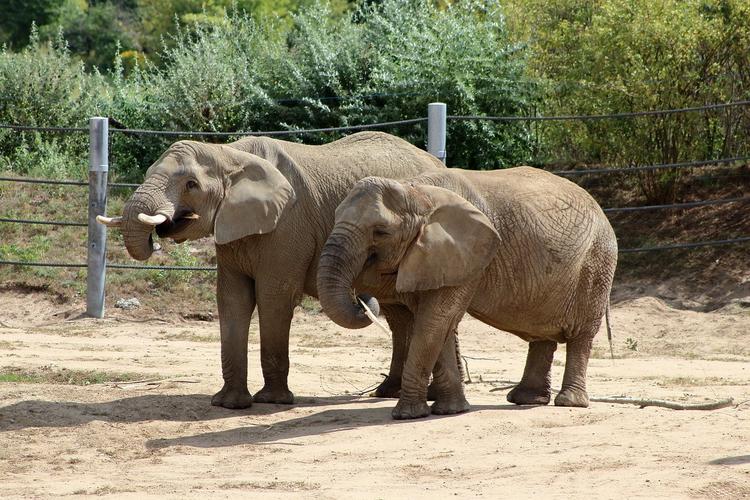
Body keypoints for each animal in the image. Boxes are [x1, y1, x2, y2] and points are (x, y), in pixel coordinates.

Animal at [94, 131, 450, 408]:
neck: (229, 153)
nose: (157, 237)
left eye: (191, 184)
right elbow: (232, 300)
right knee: (398, 314)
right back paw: (388, 392)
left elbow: (273, 297)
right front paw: (228, 404)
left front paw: (272, 401)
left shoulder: (287, 226)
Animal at [316, 167, 616, 418]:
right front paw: (450, 410)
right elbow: (438, 325)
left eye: (380, 232)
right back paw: (524, 399)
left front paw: (407, 415)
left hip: (597, 263)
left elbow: (433, 322)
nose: (362, 299)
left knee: (581, 336)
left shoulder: (465, 251)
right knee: (540, 332)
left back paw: (569, 402)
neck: (417, 191)